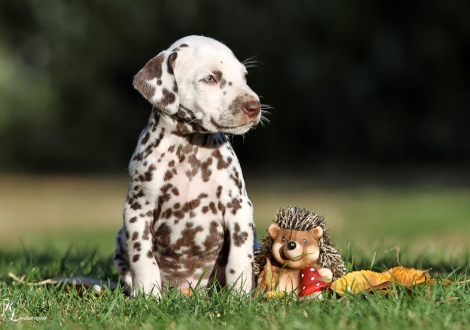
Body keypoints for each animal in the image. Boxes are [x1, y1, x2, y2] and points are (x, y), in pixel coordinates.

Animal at [112, 35, 262, 296]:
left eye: (244, 76)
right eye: (210, 78)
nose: (255, 106)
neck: (189, 149)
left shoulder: (239, 207)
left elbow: (238, 260)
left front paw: (239, 296)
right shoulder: (137, 209)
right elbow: (143, 260)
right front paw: (148, 297)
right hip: (121, 239)